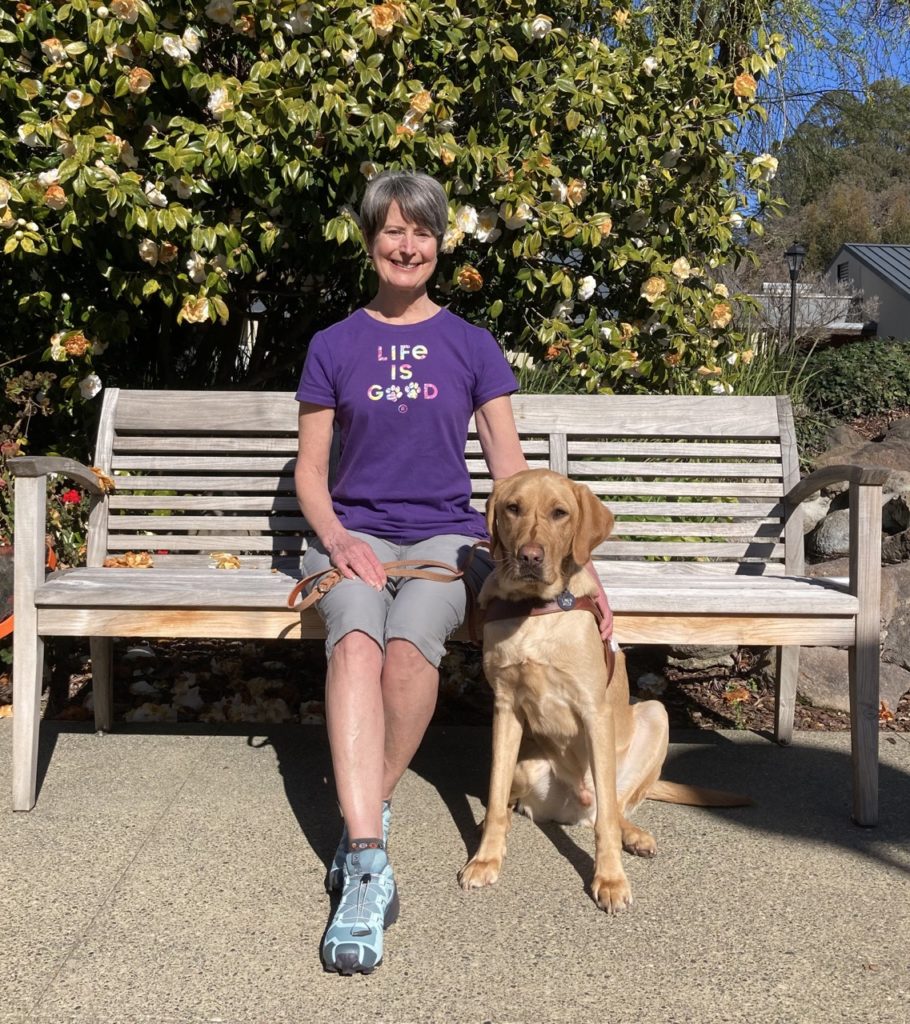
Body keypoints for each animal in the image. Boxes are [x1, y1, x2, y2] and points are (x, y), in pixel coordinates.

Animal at [458, 468, 741, 913]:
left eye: (560, 513)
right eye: (512, 508)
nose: (530, 556)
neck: (536, 612)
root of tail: (574, 806)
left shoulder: (594, 711)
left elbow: (607, 819)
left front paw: (609, 879)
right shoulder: (505, 709)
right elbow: (495, 787)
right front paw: (486, 857)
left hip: (654, 715)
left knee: (614, 806)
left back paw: (634, 834)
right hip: (526, 762)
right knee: (513, 799)